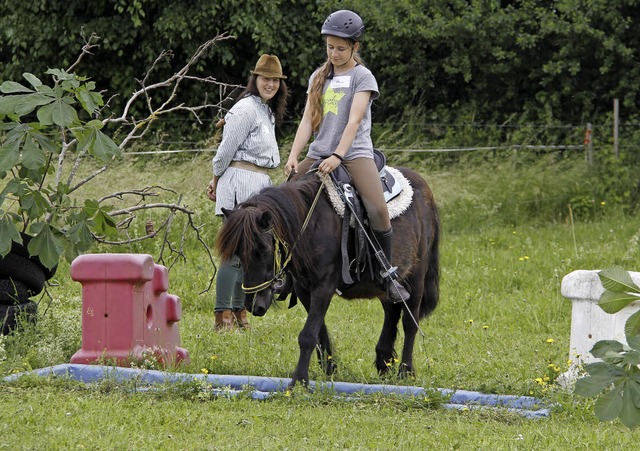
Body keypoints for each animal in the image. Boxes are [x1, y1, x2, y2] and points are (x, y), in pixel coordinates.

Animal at [215, 168, 440, 386]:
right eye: (237, 253)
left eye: (263, 250)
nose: (254, 305)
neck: (311, 223)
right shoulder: (305, 289)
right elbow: (318, 332)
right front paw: (329, 370)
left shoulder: (324, 286)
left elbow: (308, 335)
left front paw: (299, 381)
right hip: (387, 287)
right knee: (392, 313)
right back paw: (384, 364)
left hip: (416, 278)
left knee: (410, 322)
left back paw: (406, 371)